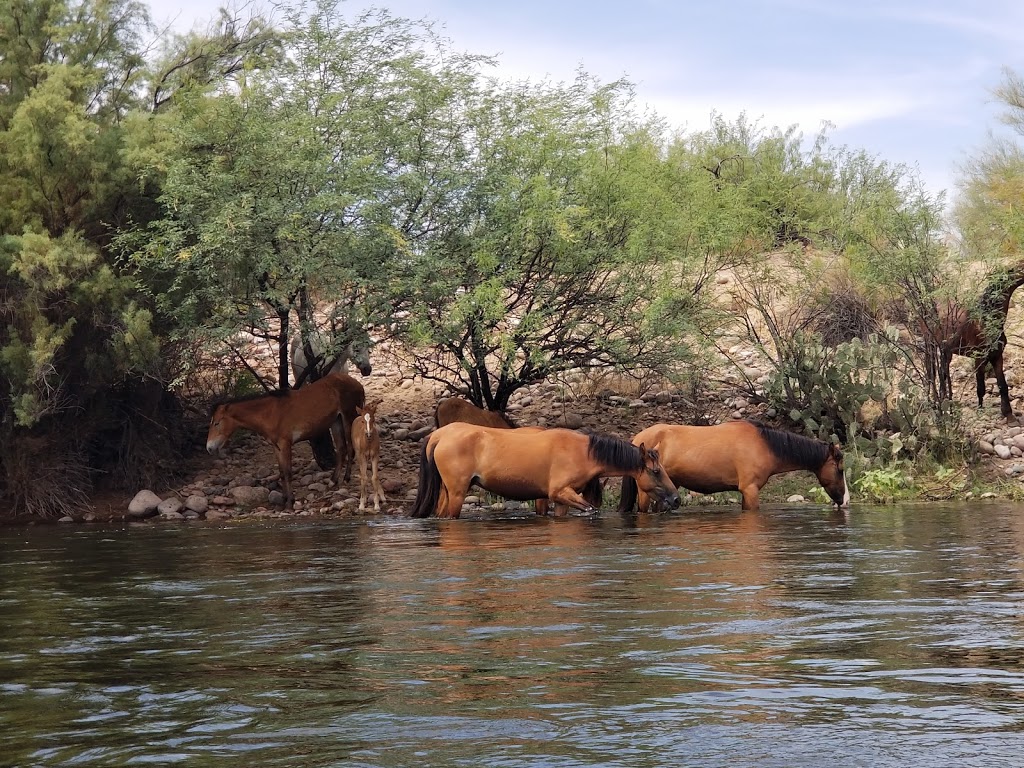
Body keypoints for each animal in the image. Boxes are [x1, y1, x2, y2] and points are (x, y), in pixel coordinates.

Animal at [204, 374, 364, 512]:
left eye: (217, 423)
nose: (209, 448)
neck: (269, 413)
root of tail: (357, 383)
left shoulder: (285, 444)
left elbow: (288, 473)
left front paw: (289, 503)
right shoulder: (277, 447)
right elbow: (281, 472)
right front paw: (283, 501)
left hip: (348, 418)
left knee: (350, 448)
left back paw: (346, 478)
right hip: (336, 422)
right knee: (342, 449)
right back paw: (333, 481)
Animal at [407, 423, 679, 520]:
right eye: (656, 471)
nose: (676, 499)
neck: (583, 451)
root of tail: (440, 435)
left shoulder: (561, 499)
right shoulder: (559, 492)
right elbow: (591, 510)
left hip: (446, 492)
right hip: (457, 493)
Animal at [614, 423, 847, 514]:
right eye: (840, 469)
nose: (845, 501)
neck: (764, 445)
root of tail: (639, 438)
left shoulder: (746, 492)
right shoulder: (751, 490)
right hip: (646, 494)